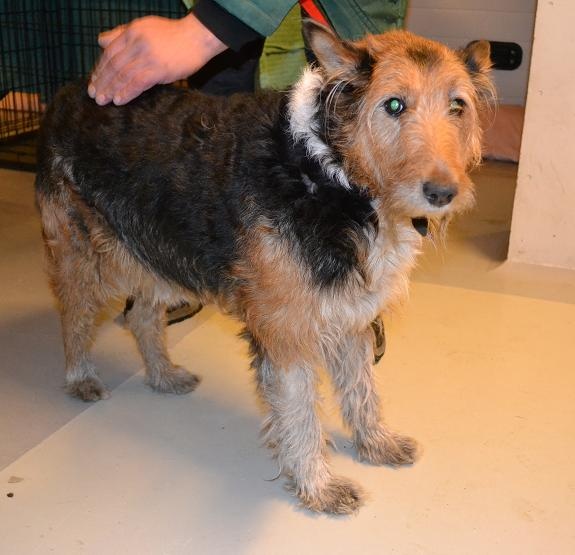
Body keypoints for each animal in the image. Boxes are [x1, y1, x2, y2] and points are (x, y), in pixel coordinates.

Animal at [35, 21, 494, 514]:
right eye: (394, 104)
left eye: (457, 105)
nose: (443, 193)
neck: (328, 172)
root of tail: (72, 89)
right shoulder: (285, 331)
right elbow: (300, 417)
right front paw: (318, 487)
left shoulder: (351, 318)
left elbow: (362, 391)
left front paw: (376, 444)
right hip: (88, 259)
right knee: (75, 317)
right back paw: (81, 378)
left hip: (159, 255)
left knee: (139, 316)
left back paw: (163, 375)